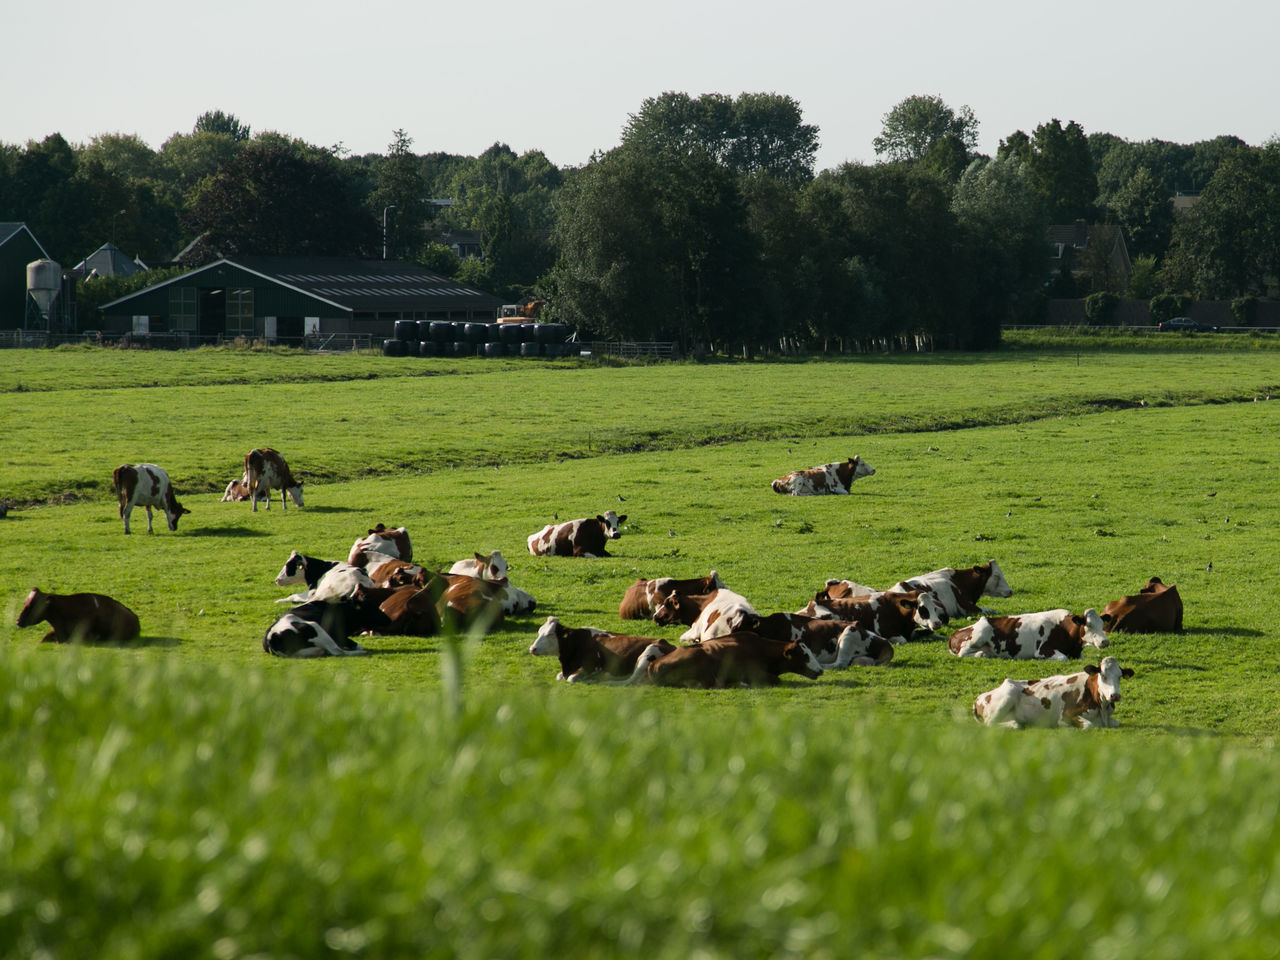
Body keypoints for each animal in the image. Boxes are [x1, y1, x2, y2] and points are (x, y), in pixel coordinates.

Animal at [527, 616, 680, 686]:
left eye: (549, 634)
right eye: (539, 631)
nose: (532, 649)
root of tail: (670, 644)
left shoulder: (592, 667)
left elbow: (572, 678)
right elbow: (559, 676)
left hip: (647, 654)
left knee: (629, 681)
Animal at [952, 609, 1111, 660]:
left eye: (1102, 625)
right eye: (1089, 625)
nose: (1105, 642)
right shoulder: (1043, 650)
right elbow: (1063, 658)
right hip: (980, 633)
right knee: (964, 652)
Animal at [972, 660, 1136, 727]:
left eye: (1120, 676)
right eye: (1103, 675)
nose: (1115, 696)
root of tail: (979, 698)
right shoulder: (1067, 714)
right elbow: (1089, 725)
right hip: (1007, 696)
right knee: (991, 724)